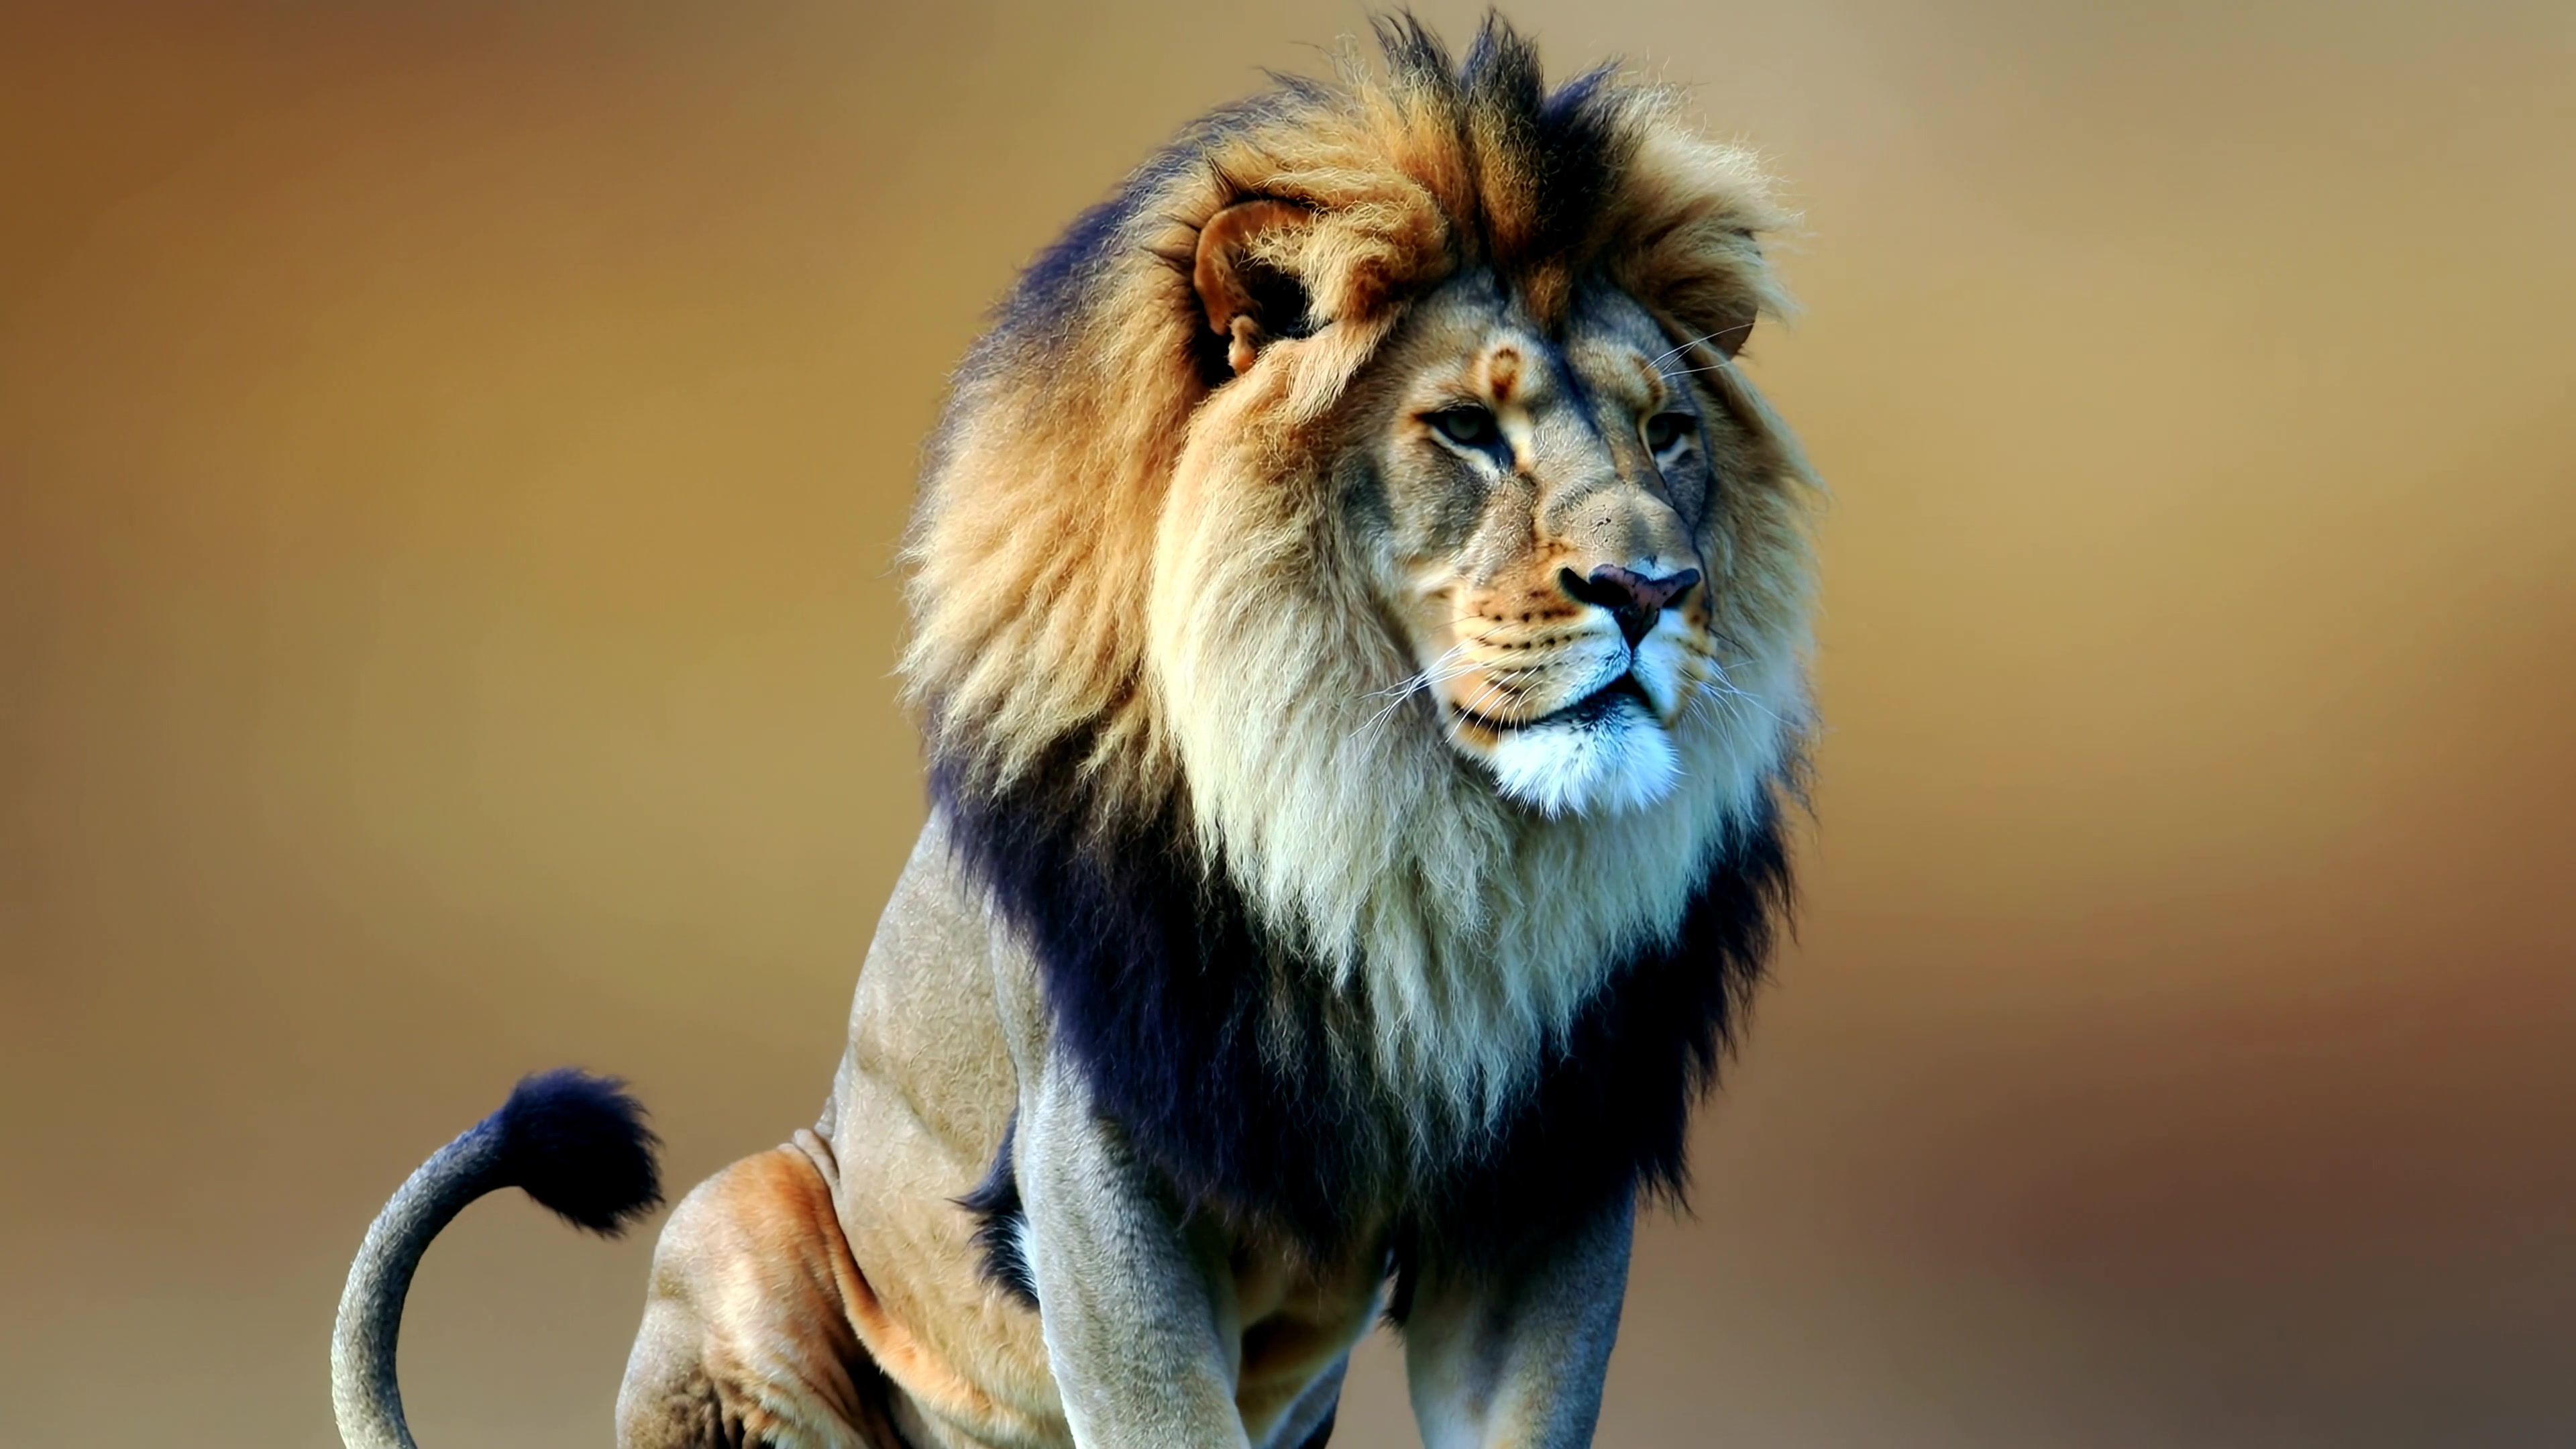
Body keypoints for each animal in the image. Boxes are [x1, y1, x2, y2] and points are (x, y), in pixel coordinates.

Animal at [331, 18, 1820, 1449]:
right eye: (1463, 429)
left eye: (1670, 433)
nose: (1653, 589)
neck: (1403, 832)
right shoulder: (1091, 1159)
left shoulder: (1553, 1180)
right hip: (742, 1209)